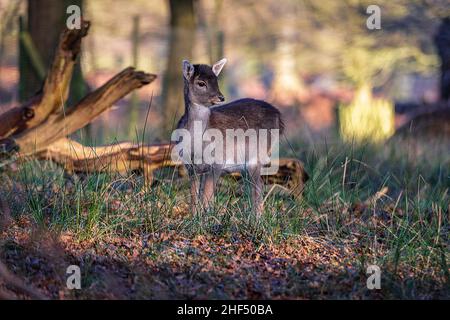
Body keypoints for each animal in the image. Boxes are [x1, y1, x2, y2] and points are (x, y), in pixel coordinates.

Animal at [174, 58, 284, 216]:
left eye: (216, 80)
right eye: (201, 83)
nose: (221, 97)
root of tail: (279, 116)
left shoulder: (217, 162)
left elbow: (207, 195)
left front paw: (206, 218)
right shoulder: (191, 166)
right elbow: (194, 195)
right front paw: (193, 217)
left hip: (256, 156)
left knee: (258, 186)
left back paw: (256, 218)